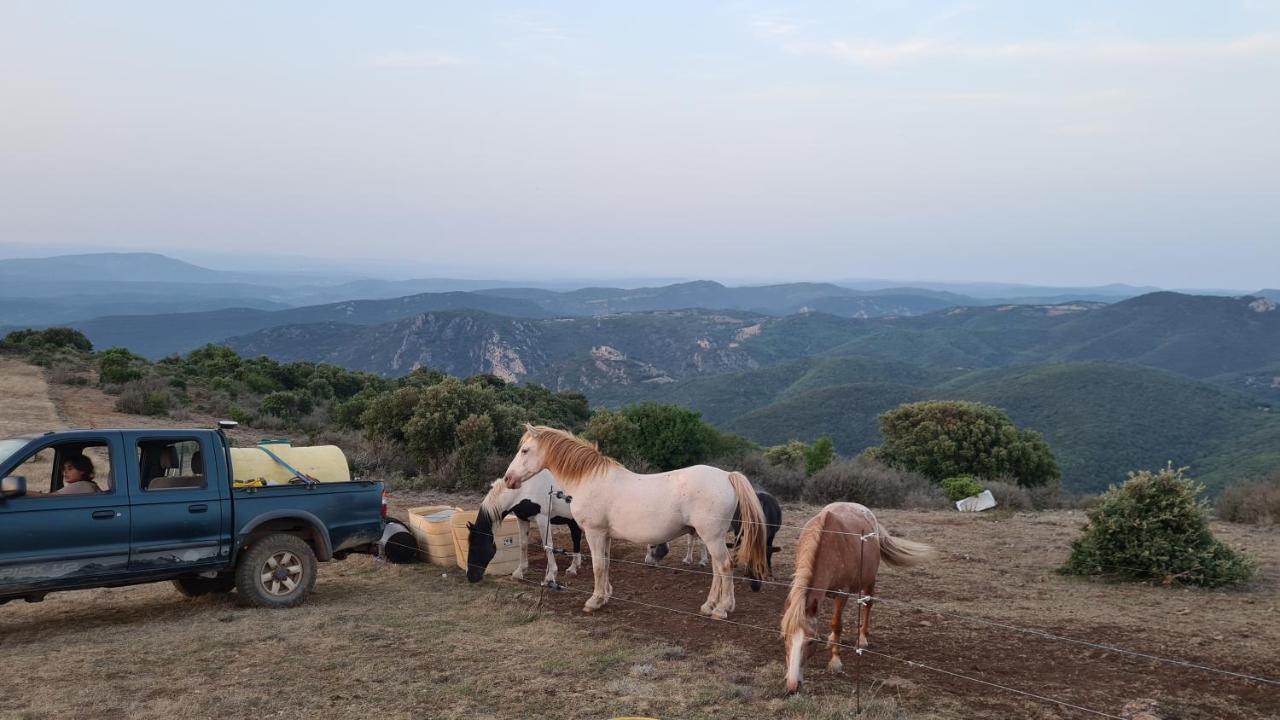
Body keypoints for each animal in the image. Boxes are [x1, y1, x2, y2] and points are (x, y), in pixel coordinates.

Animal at [501, 422, 768, 620]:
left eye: (525, 450)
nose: (508, 479)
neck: (589, 479)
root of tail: (727, 475)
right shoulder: (605, 535)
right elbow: (606, 564)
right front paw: (606, 595)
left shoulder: (594, 533)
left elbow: (598, 566)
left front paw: (594, 601)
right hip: (710, 537)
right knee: (716, 569)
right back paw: (709, 605)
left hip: (712, 537)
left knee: (724, 567)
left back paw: (722, 609)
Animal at [645, 486, 783, 589]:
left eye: (652, 546)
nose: (647, 563)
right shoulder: (692, 528)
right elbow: (690, 543)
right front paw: (688, 560)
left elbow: (701, 544)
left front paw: (702, 561)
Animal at [773, 499, 936, 691]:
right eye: (785, 638)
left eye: (811, 641)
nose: (792, 685)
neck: (828, 543)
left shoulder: (842, 593)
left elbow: (837, 624)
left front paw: (835, 662)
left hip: (869, 581)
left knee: (867, 605)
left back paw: (862, 638)